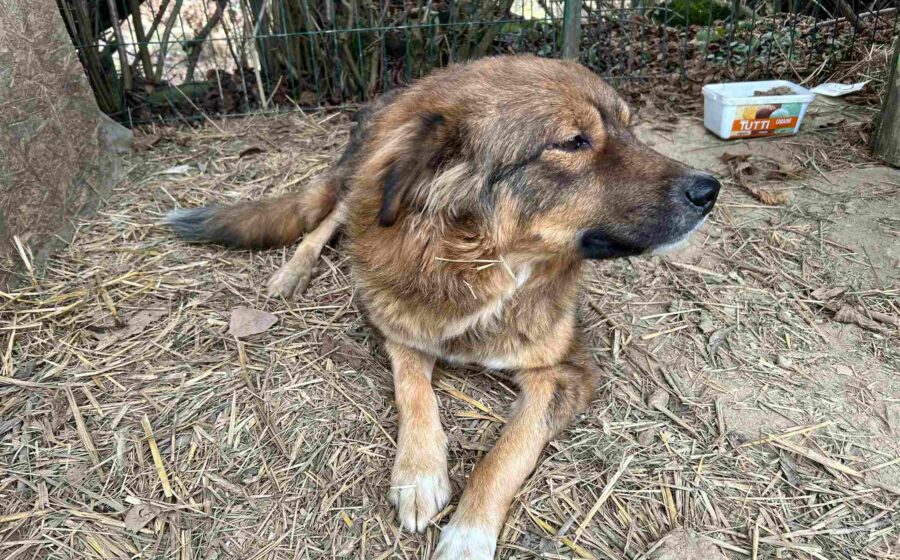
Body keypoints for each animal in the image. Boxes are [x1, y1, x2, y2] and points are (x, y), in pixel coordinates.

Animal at [165, 55, 719, 559]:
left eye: (630, 129)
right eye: (573, 141)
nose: (709, 189)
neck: (483, 265)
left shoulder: (563, 370)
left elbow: (509, 450)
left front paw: (468, 535)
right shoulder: (398, 322)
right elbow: (414, 390)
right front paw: (419, 474)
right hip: (364, 187)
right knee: (326, 221)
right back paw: (292, 273)